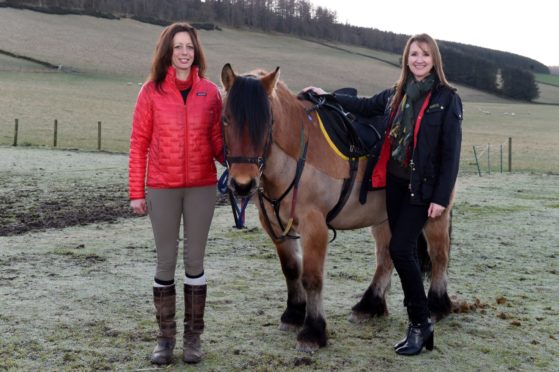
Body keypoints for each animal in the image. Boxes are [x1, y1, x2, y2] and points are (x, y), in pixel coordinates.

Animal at [220, 63, 456, 352]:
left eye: (267, 122)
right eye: (225, 119)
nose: (243, 184)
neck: (296, 156)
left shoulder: (314, 226)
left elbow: (311, 278)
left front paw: (313, 330)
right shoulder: (276, 226)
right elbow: (291, 270)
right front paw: (293, 314)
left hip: (435, 215)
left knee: (439, 255)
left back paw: (437, 305)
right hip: (384, 217)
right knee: (386, 257)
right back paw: (369, 305)